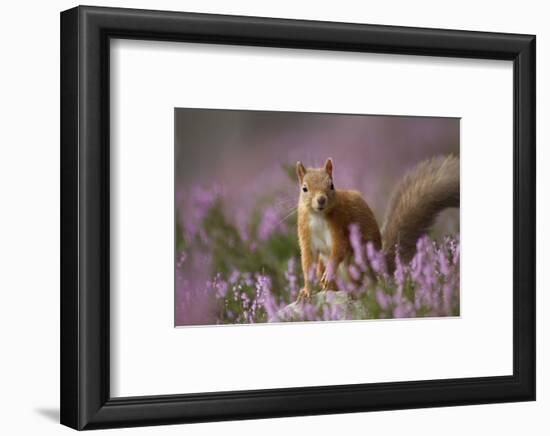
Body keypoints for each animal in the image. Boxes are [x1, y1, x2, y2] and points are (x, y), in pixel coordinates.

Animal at [298, 155, 462, 302]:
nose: (321, 199)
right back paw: (330, 289)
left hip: (356, 262)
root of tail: (378, 265)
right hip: (325, 264)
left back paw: (355, 292)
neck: (318, 216)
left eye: (331, 185)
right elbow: (307, 261)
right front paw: (306, 291)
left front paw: (329, 272)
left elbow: (340, 248)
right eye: (304, 188)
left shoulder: (341, 224)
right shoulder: (306, 233)